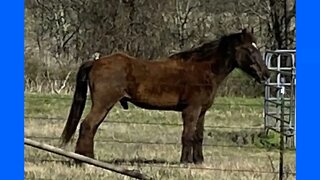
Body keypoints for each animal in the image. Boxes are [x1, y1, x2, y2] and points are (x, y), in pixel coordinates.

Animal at [60, 28, 270, 165]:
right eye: (250, 49)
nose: (266, 74)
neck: (203, 70)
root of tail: (96, 62)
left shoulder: (202, 112)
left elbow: (198, 136)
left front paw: (198, 161)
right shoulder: (191, 110)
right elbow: (187, 135)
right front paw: (185, 162)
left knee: (91, 127)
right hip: (103, 103)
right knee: (87, 125)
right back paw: (83, 161)